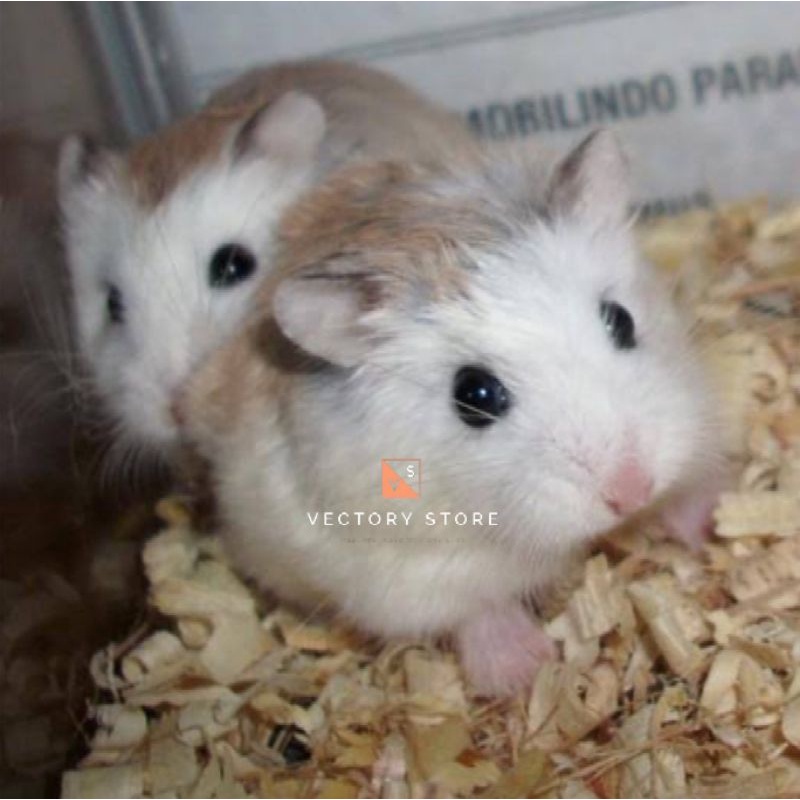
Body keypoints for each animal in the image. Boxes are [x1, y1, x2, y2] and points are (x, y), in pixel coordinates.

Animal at [182, 130, 724, 695]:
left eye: (620, 320)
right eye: (474, 395)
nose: (631, 491)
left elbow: (686, 493)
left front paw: (713, 526)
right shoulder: (407, 573)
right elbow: (473, 611)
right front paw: (526, 671)